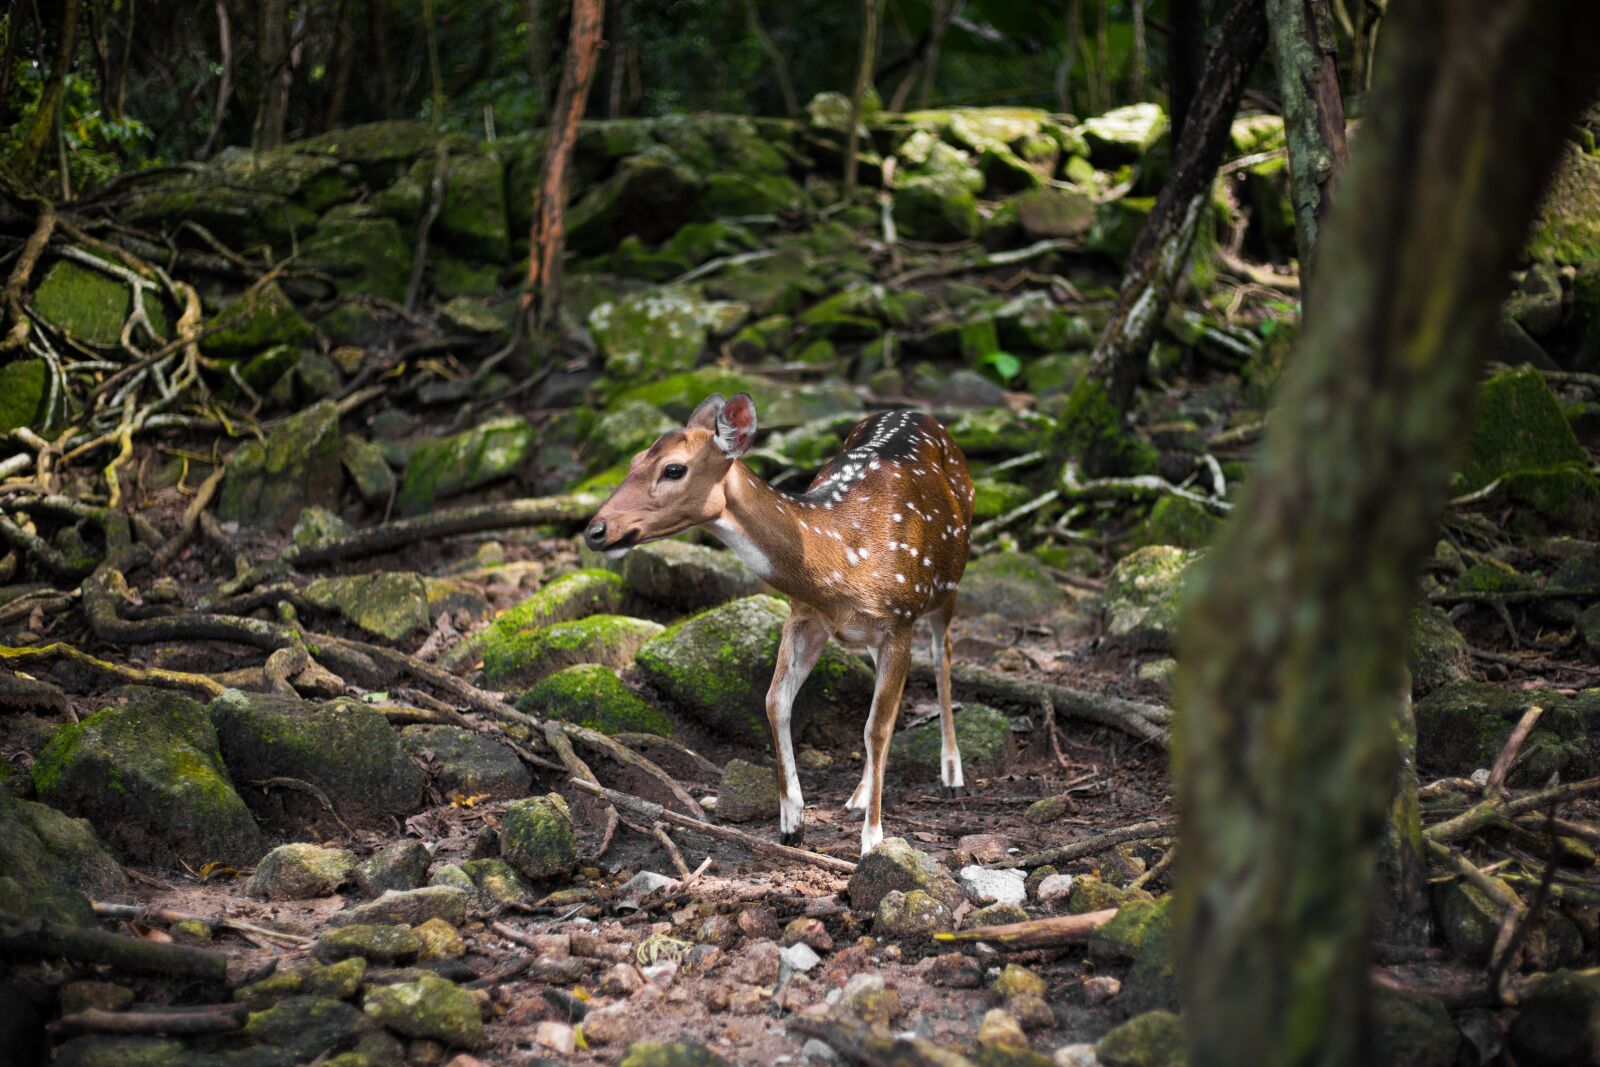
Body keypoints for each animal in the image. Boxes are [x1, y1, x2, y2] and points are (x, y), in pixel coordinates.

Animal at [584, 392, 975, 856]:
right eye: (634, 459)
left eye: (674, 468)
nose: (595, 531)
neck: (841, 563)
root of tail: (917, 413)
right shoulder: (804, 615)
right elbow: (775, 700)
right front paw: (792, 822)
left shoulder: (899, 618)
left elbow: (874, 728)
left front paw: (873, 842)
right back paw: (858, 797)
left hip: (946, 584)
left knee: (941, 655)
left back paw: (951, 774)